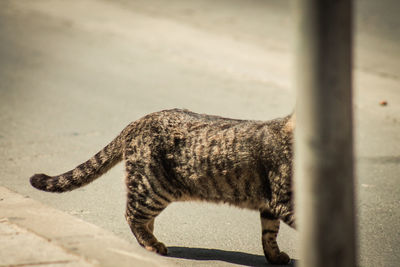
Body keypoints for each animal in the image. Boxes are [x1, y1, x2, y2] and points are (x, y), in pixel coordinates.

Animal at [29, 109, 296, 266]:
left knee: (142, 218)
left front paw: (275, 257)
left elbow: (269, 234)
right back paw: (151, 244)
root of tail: (138, 120)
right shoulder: (285, 201)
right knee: (132, 215)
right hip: (153, 188)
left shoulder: (272, 204)